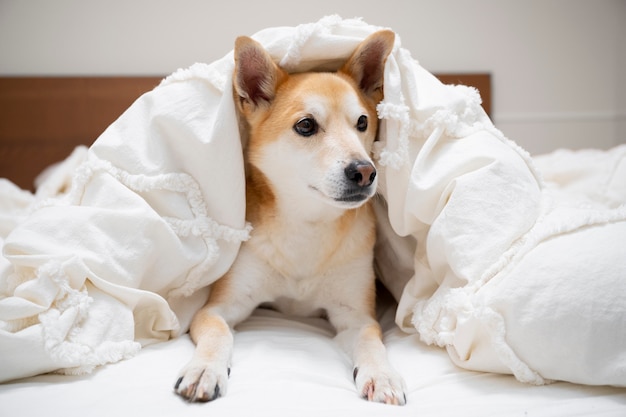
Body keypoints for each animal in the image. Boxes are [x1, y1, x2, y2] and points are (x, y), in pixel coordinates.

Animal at [173, 30, 404, 406]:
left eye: (363, 123)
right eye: (306, 125)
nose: (365, 172)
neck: (307, 225)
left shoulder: (356, 316)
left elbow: (372, 342)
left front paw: (382, 375)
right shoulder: (220, 307)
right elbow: (219, 333)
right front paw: (205, 369)